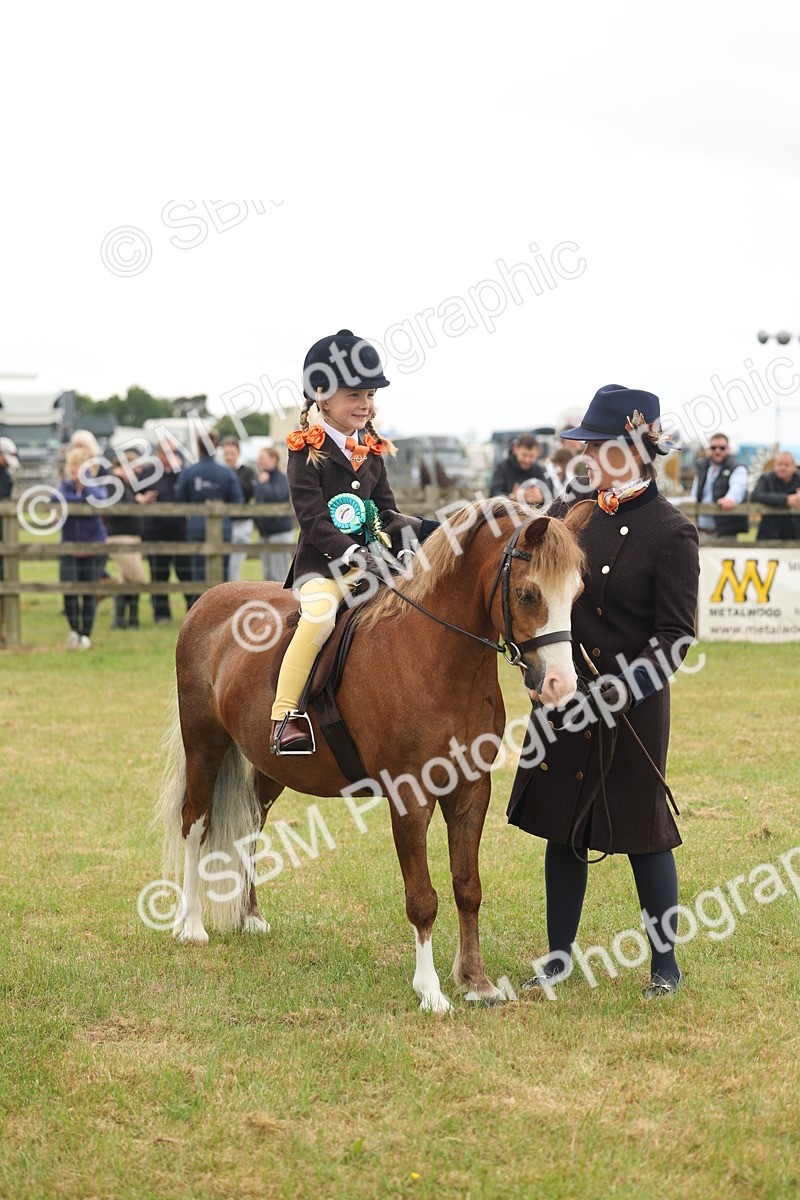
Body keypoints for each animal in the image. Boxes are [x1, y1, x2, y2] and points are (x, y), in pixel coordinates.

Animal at [156, 499, 586, 1011]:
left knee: (250, 826)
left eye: (577, 593)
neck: (433, 655)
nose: (560, 684)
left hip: (268, 765)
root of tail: (206, 601)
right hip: (205, 744)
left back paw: (250, 917)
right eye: (527, 594)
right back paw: (191, 924)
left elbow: (467, 887)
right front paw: (431, 991)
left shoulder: (471, 791)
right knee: (195, 823)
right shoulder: (410, 796)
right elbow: (422, 898)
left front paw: (476, 982)